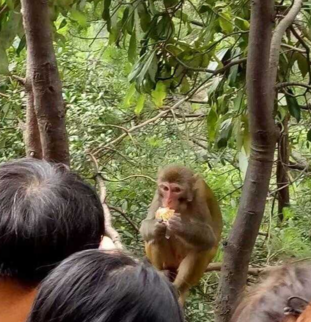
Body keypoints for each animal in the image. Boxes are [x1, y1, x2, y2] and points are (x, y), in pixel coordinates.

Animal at [140, 165, 223, 306]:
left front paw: (180, 226)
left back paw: (178, 288)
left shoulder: (199, 196)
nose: (168, 200)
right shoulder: (158, 194)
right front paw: (156, 226)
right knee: (156, 238)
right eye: (165, 188)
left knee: (200, 249)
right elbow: (146, 224)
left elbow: (209, 237)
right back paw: (161, 274)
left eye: (177, 190)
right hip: (169, 262)